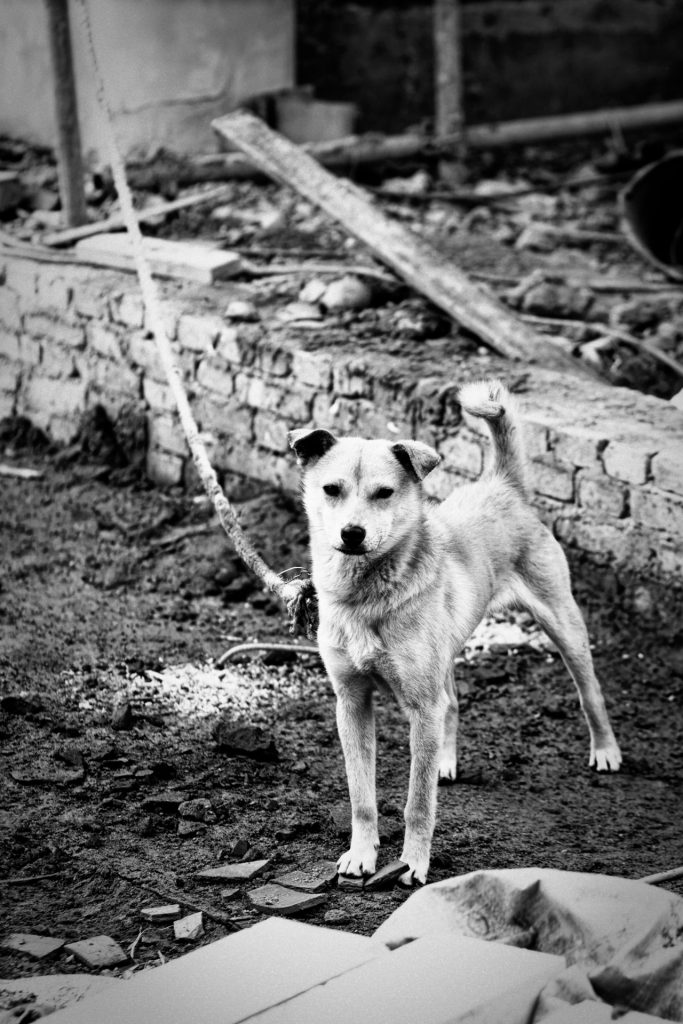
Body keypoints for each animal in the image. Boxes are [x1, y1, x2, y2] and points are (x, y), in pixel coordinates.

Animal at [286, 380, 618, 884]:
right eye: (331, 489)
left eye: (384, 493)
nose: (351, 533)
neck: (366, 595)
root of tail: (503, 485)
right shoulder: (352, 702)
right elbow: (362, 795)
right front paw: (361, 854)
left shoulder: (421, 709)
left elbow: (417, 802)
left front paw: (411, 863)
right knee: (454, 702)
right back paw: (445, 759)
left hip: (563, 625)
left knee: (590, 692)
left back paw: (605, 749)